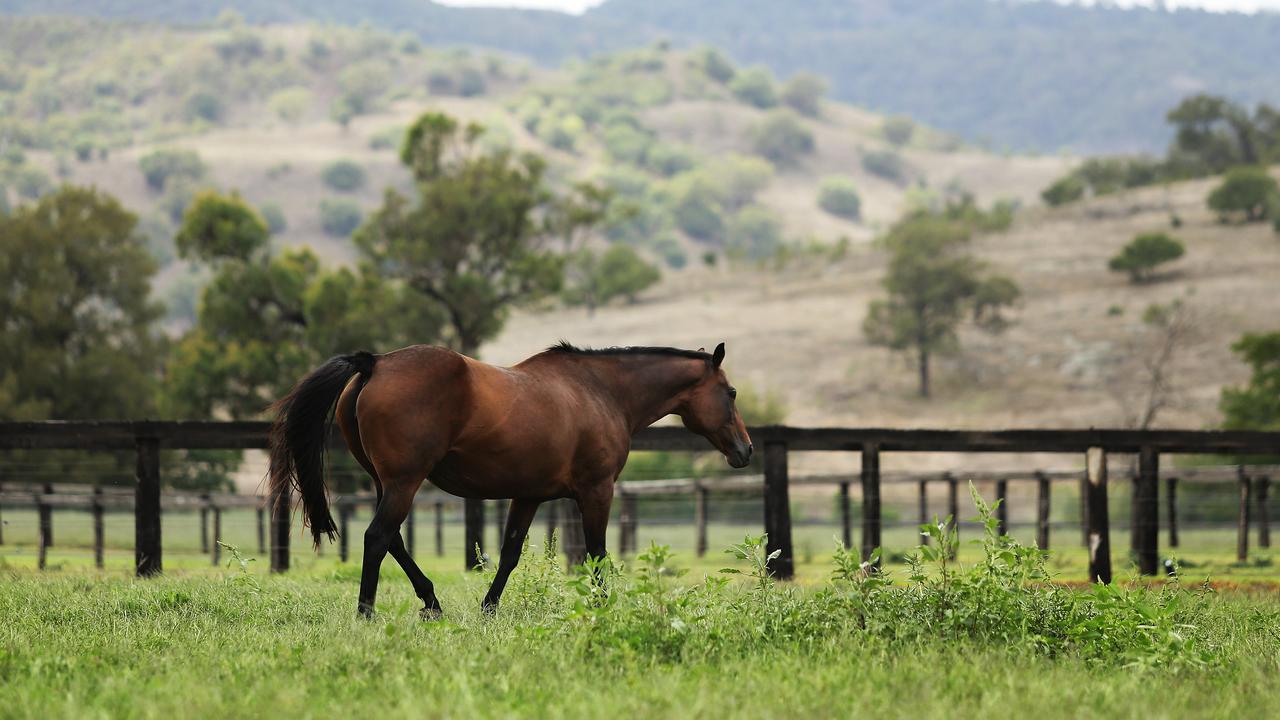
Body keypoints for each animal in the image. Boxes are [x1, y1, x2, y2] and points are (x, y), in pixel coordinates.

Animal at [267, 338, 747, 614]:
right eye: (731, 392)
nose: (746, 450)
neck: (600, 392)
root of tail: (375, 364)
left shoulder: (528, 496)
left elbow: (510, 554)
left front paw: (489, 609)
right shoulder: (597, 491)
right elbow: (595, 554)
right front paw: (603, 608)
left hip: (386, 483)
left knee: (394, 540)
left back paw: (432, 602)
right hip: (404, 482)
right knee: (377, 538)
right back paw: (367, 613)